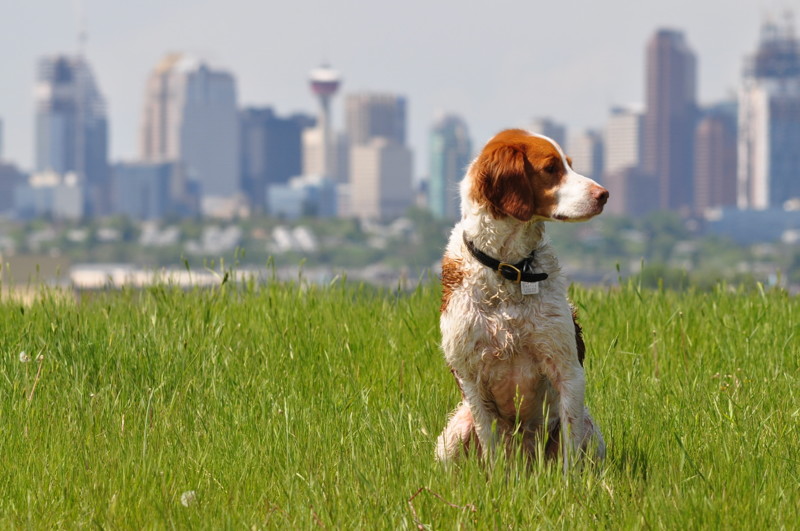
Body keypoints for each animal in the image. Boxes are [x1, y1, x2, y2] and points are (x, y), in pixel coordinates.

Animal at [438, 128, 608, 466]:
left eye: (569, 164)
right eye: (551, 168)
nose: (604, 194)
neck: (509, 269)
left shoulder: (567, 368)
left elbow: (569, 453)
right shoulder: (470, 378)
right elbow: (491, 449)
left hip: (592, 431)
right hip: (454, 432)